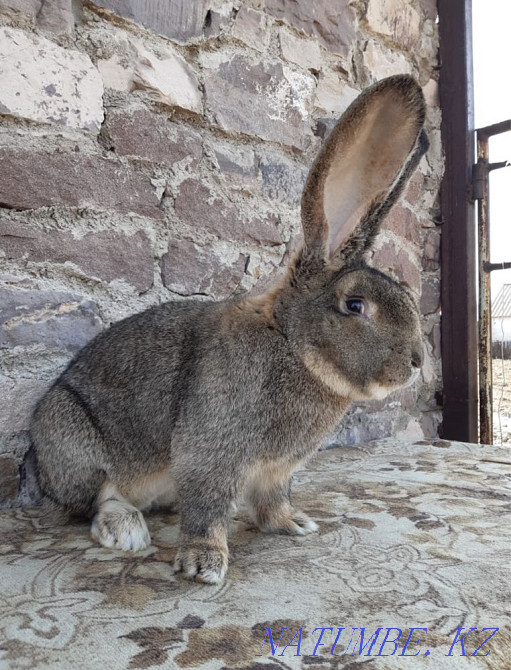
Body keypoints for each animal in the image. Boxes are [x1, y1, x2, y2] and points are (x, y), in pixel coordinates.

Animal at [31, 74, 428, 584]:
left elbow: (272, 501)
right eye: (355, 305)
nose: (417, 360)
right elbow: (207, 506)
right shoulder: (212, 451)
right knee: (94, 501)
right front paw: (203, 563)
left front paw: (294, 524)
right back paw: (126, 530)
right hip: (73, 441)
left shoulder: (276, 471)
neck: (290, 343)